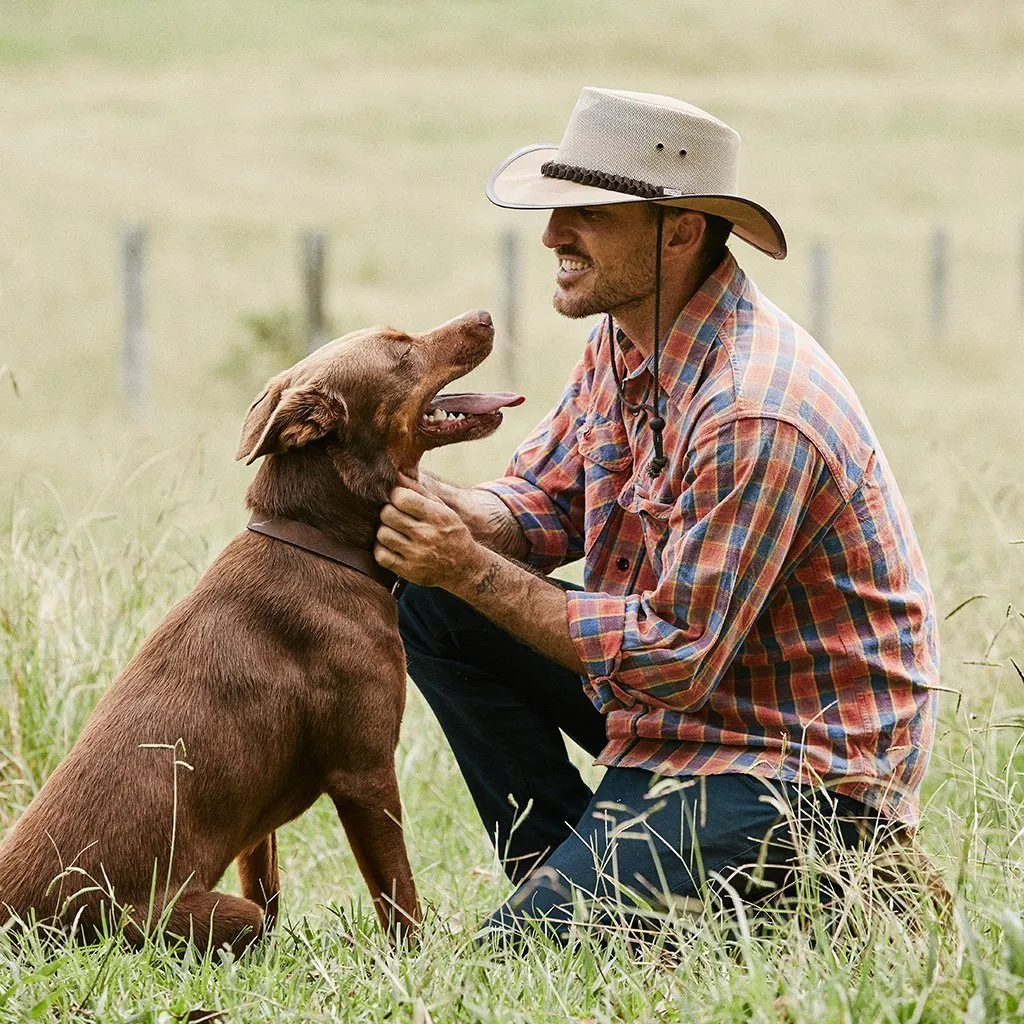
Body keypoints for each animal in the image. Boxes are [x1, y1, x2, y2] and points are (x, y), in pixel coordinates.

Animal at [0, 307, 520, 954]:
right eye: (401, 350)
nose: (486, 316)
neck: (318, 542)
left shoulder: (261, 830)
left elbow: (268, 885)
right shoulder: (365, 772)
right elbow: (399, 897)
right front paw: (417, 962)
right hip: (192, 916)